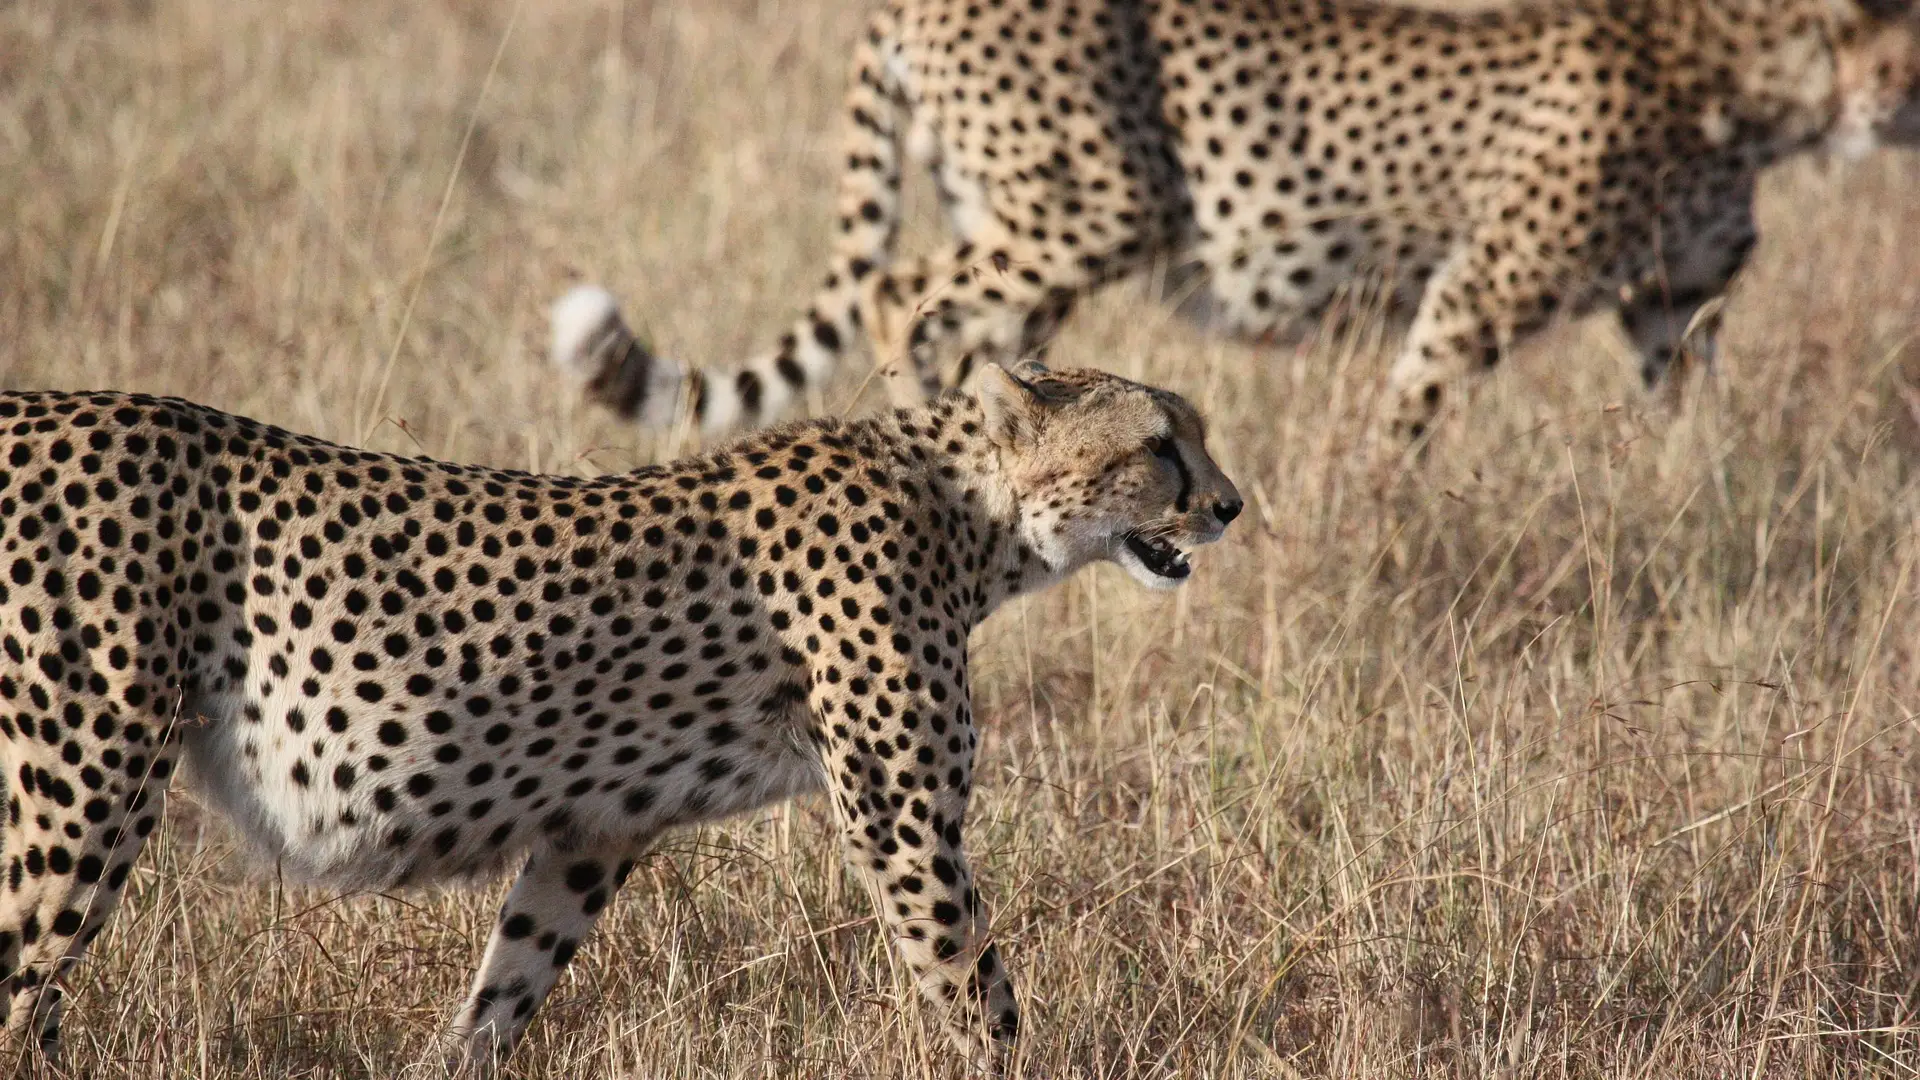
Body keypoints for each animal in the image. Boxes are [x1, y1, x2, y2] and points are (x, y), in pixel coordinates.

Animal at [0, 293, 1240, 1075]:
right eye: (1159, 444)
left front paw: (448, 1063)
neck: (970, 516)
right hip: (81, 788)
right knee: (24, 983)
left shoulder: (593, 828)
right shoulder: (903, 823)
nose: (1230, 505)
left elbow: (507, 985)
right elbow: (973, 984)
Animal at [556, 0, 1920, 453]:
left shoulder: (1669, 308)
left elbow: (1694, 413)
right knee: (903, 295)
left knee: (980, 337)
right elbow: (1409, 417)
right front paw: (1379, 516)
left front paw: (1712, 489)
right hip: (1093, 201)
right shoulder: (1479, 287)